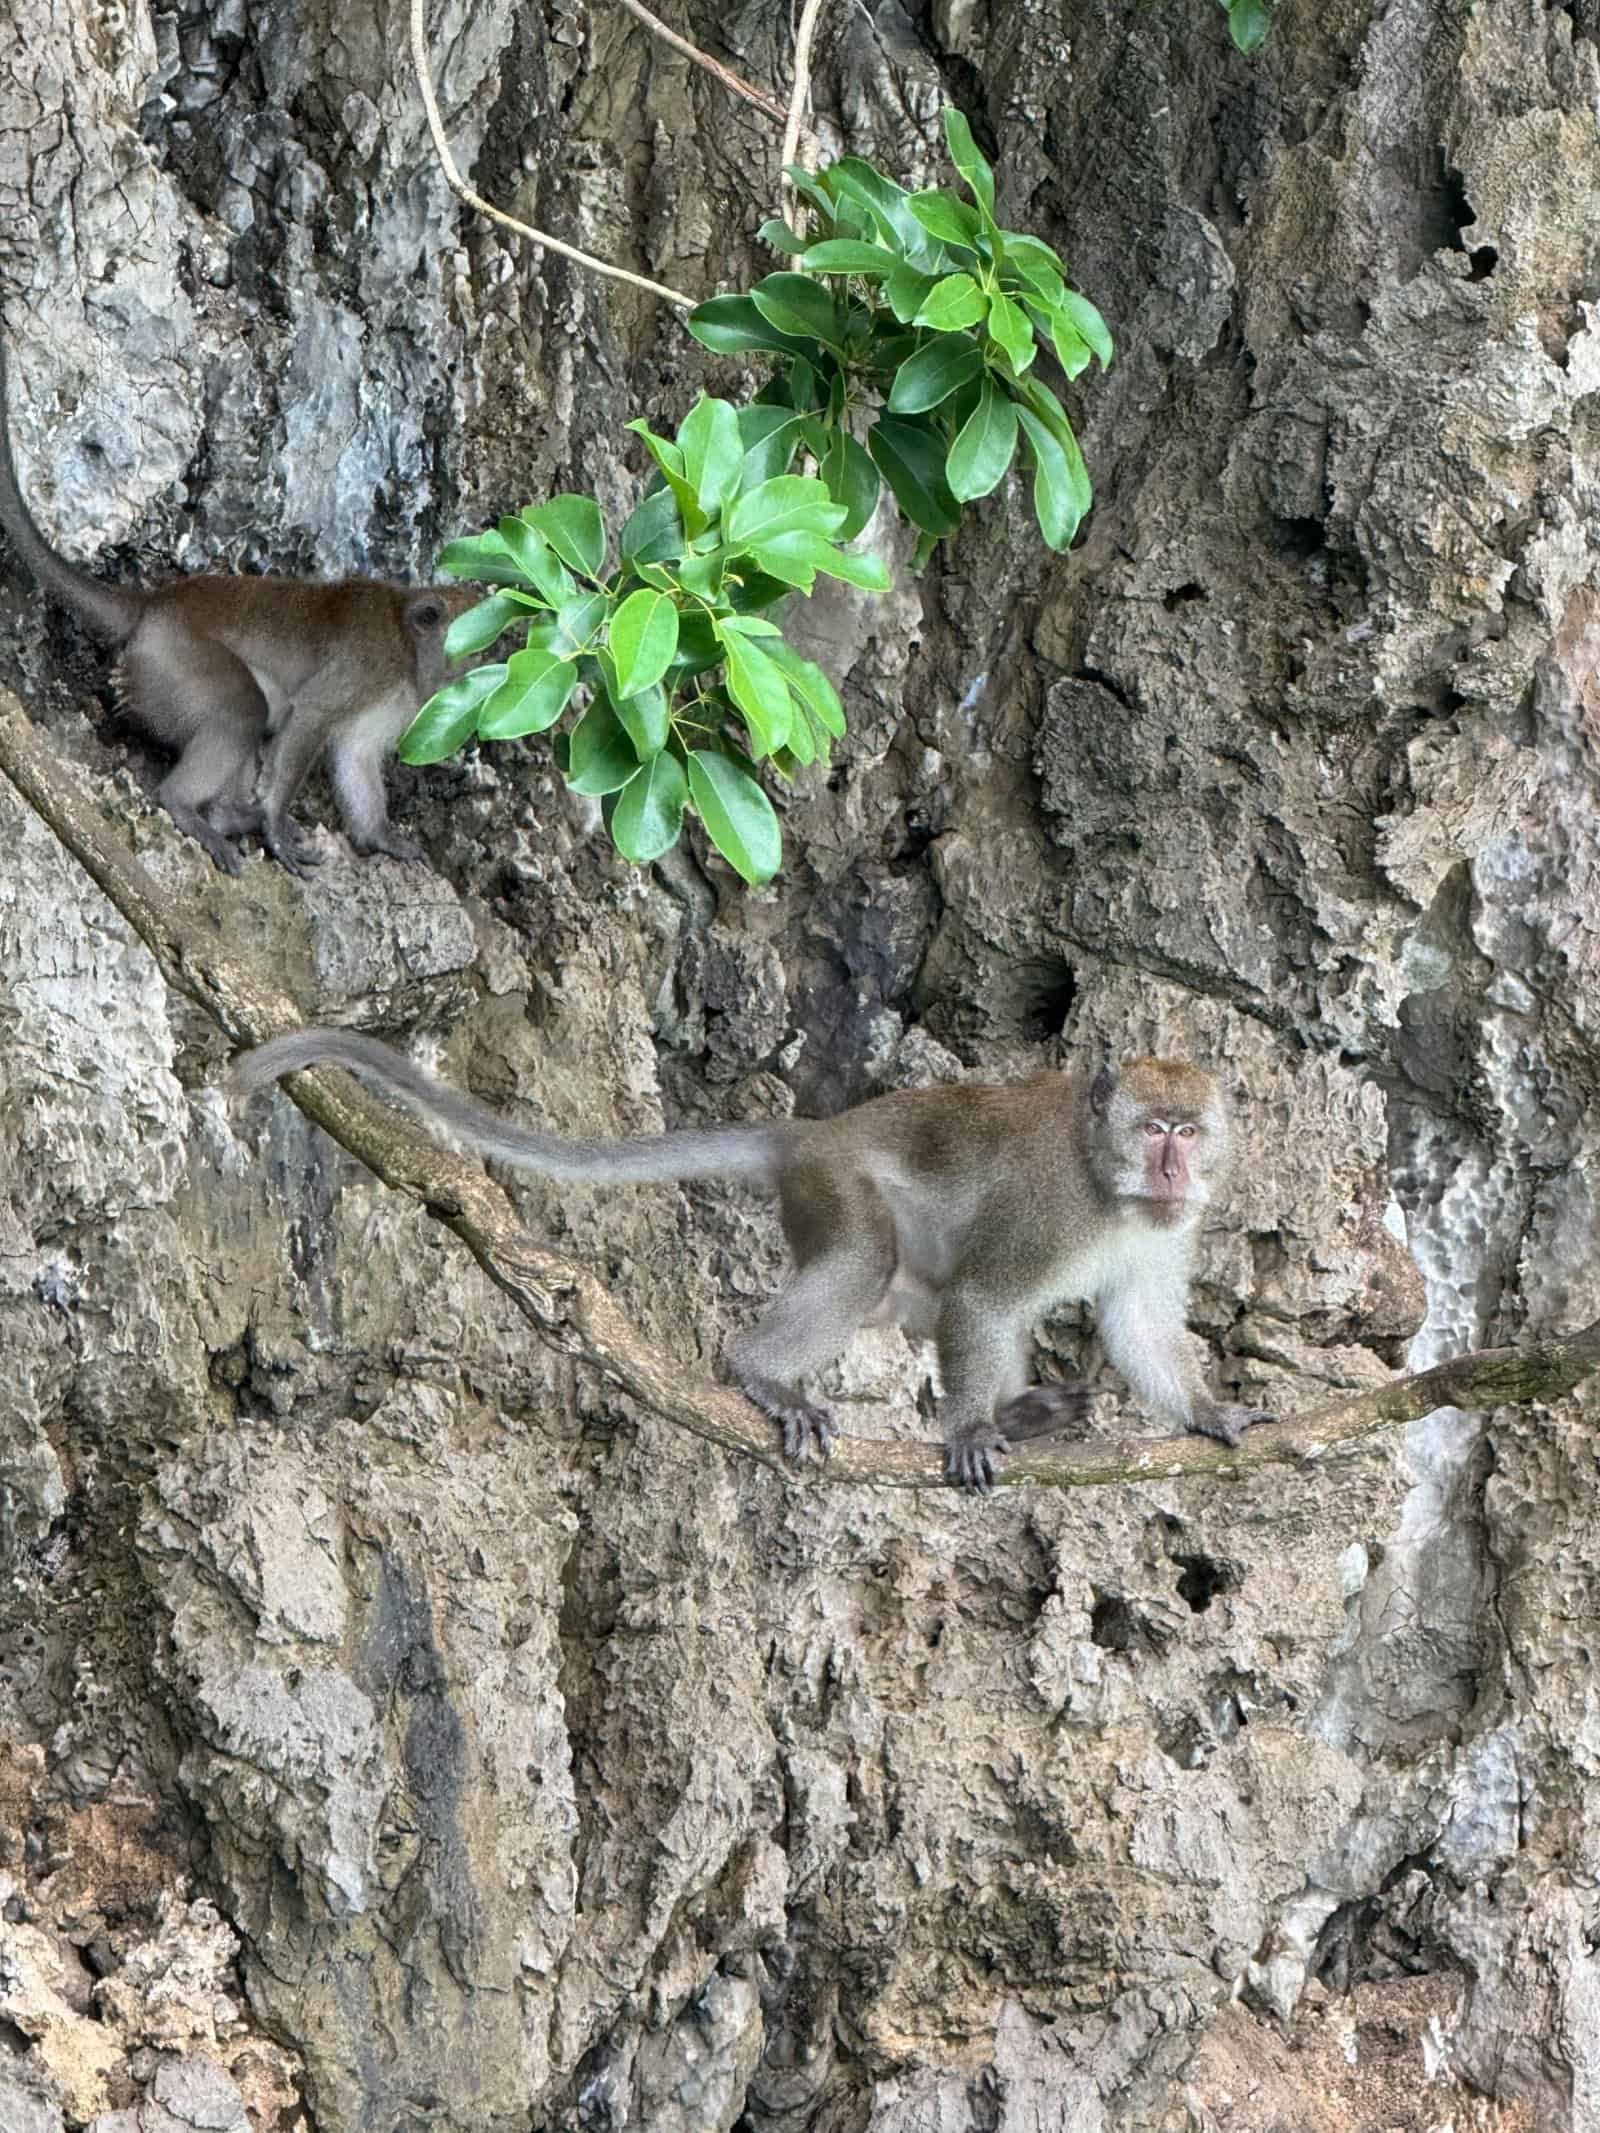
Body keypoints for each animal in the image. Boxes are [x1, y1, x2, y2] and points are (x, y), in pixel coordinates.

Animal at [0, 335, 464, 876]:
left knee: (262, 711)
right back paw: (188, 806)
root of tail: (153, 603)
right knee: (245, 709)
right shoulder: (371, 661)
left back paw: (226, 815)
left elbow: (354, 753)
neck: (407, 648)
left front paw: (378, 836)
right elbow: (309, 717)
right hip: (170, 660)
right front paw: (276, 825)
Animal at [233, 1034, 1274, 1490]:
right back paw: (760, 1373)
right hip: (836, 1185)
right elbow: (986, 1296)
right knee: (865, 1261)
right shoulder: (1047, 1206)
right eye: (1155, 1129)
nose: (1176, 1167)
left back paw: (1028, 1410)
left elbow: (1136, 1324)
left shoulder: (1159, 1232)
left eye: (1191, 1130)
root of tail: (809, 1133)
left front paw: (1210, 1411)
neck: (1109, 1184)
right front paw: (973, 1430)